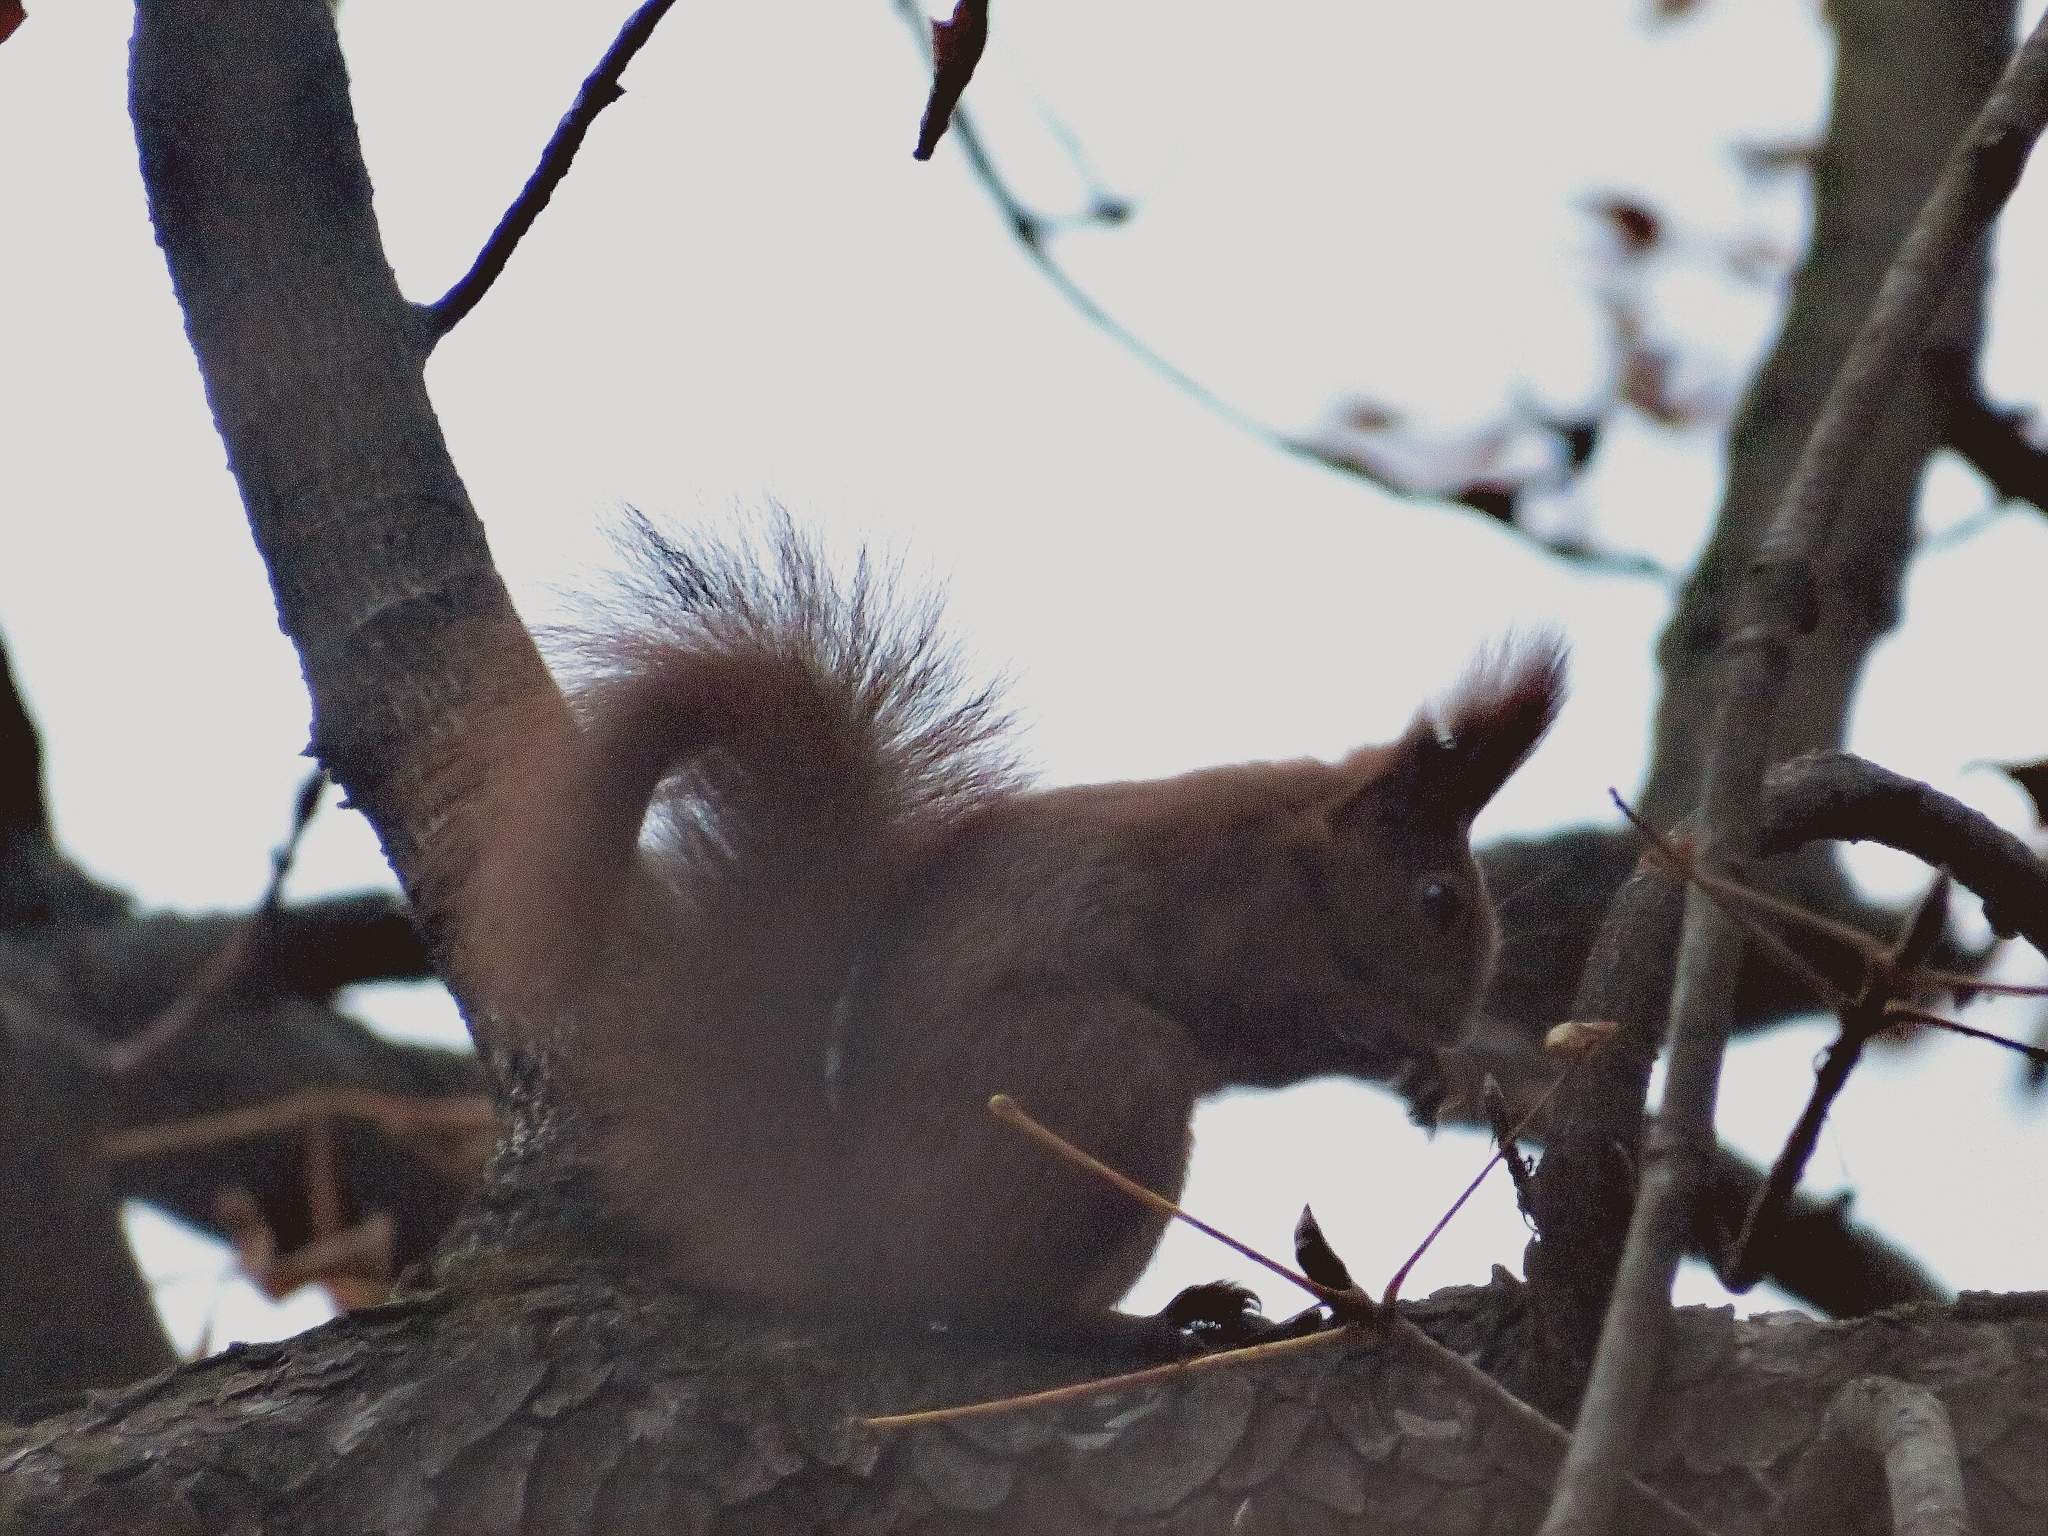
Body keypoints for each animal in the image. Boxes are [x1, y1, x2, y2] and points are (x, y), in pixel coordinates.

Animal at [440, 524, 1556, 1327]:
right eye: (1437, 901)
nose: (1455, 1020)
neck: (1301, 859)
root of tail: (851, 1240)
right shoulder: (1224, 920)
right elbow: (1283, 1017)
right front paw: (1410, 1055)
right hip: (1108, 1081)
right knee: (1007, 1313)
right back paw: (1152, 1326)